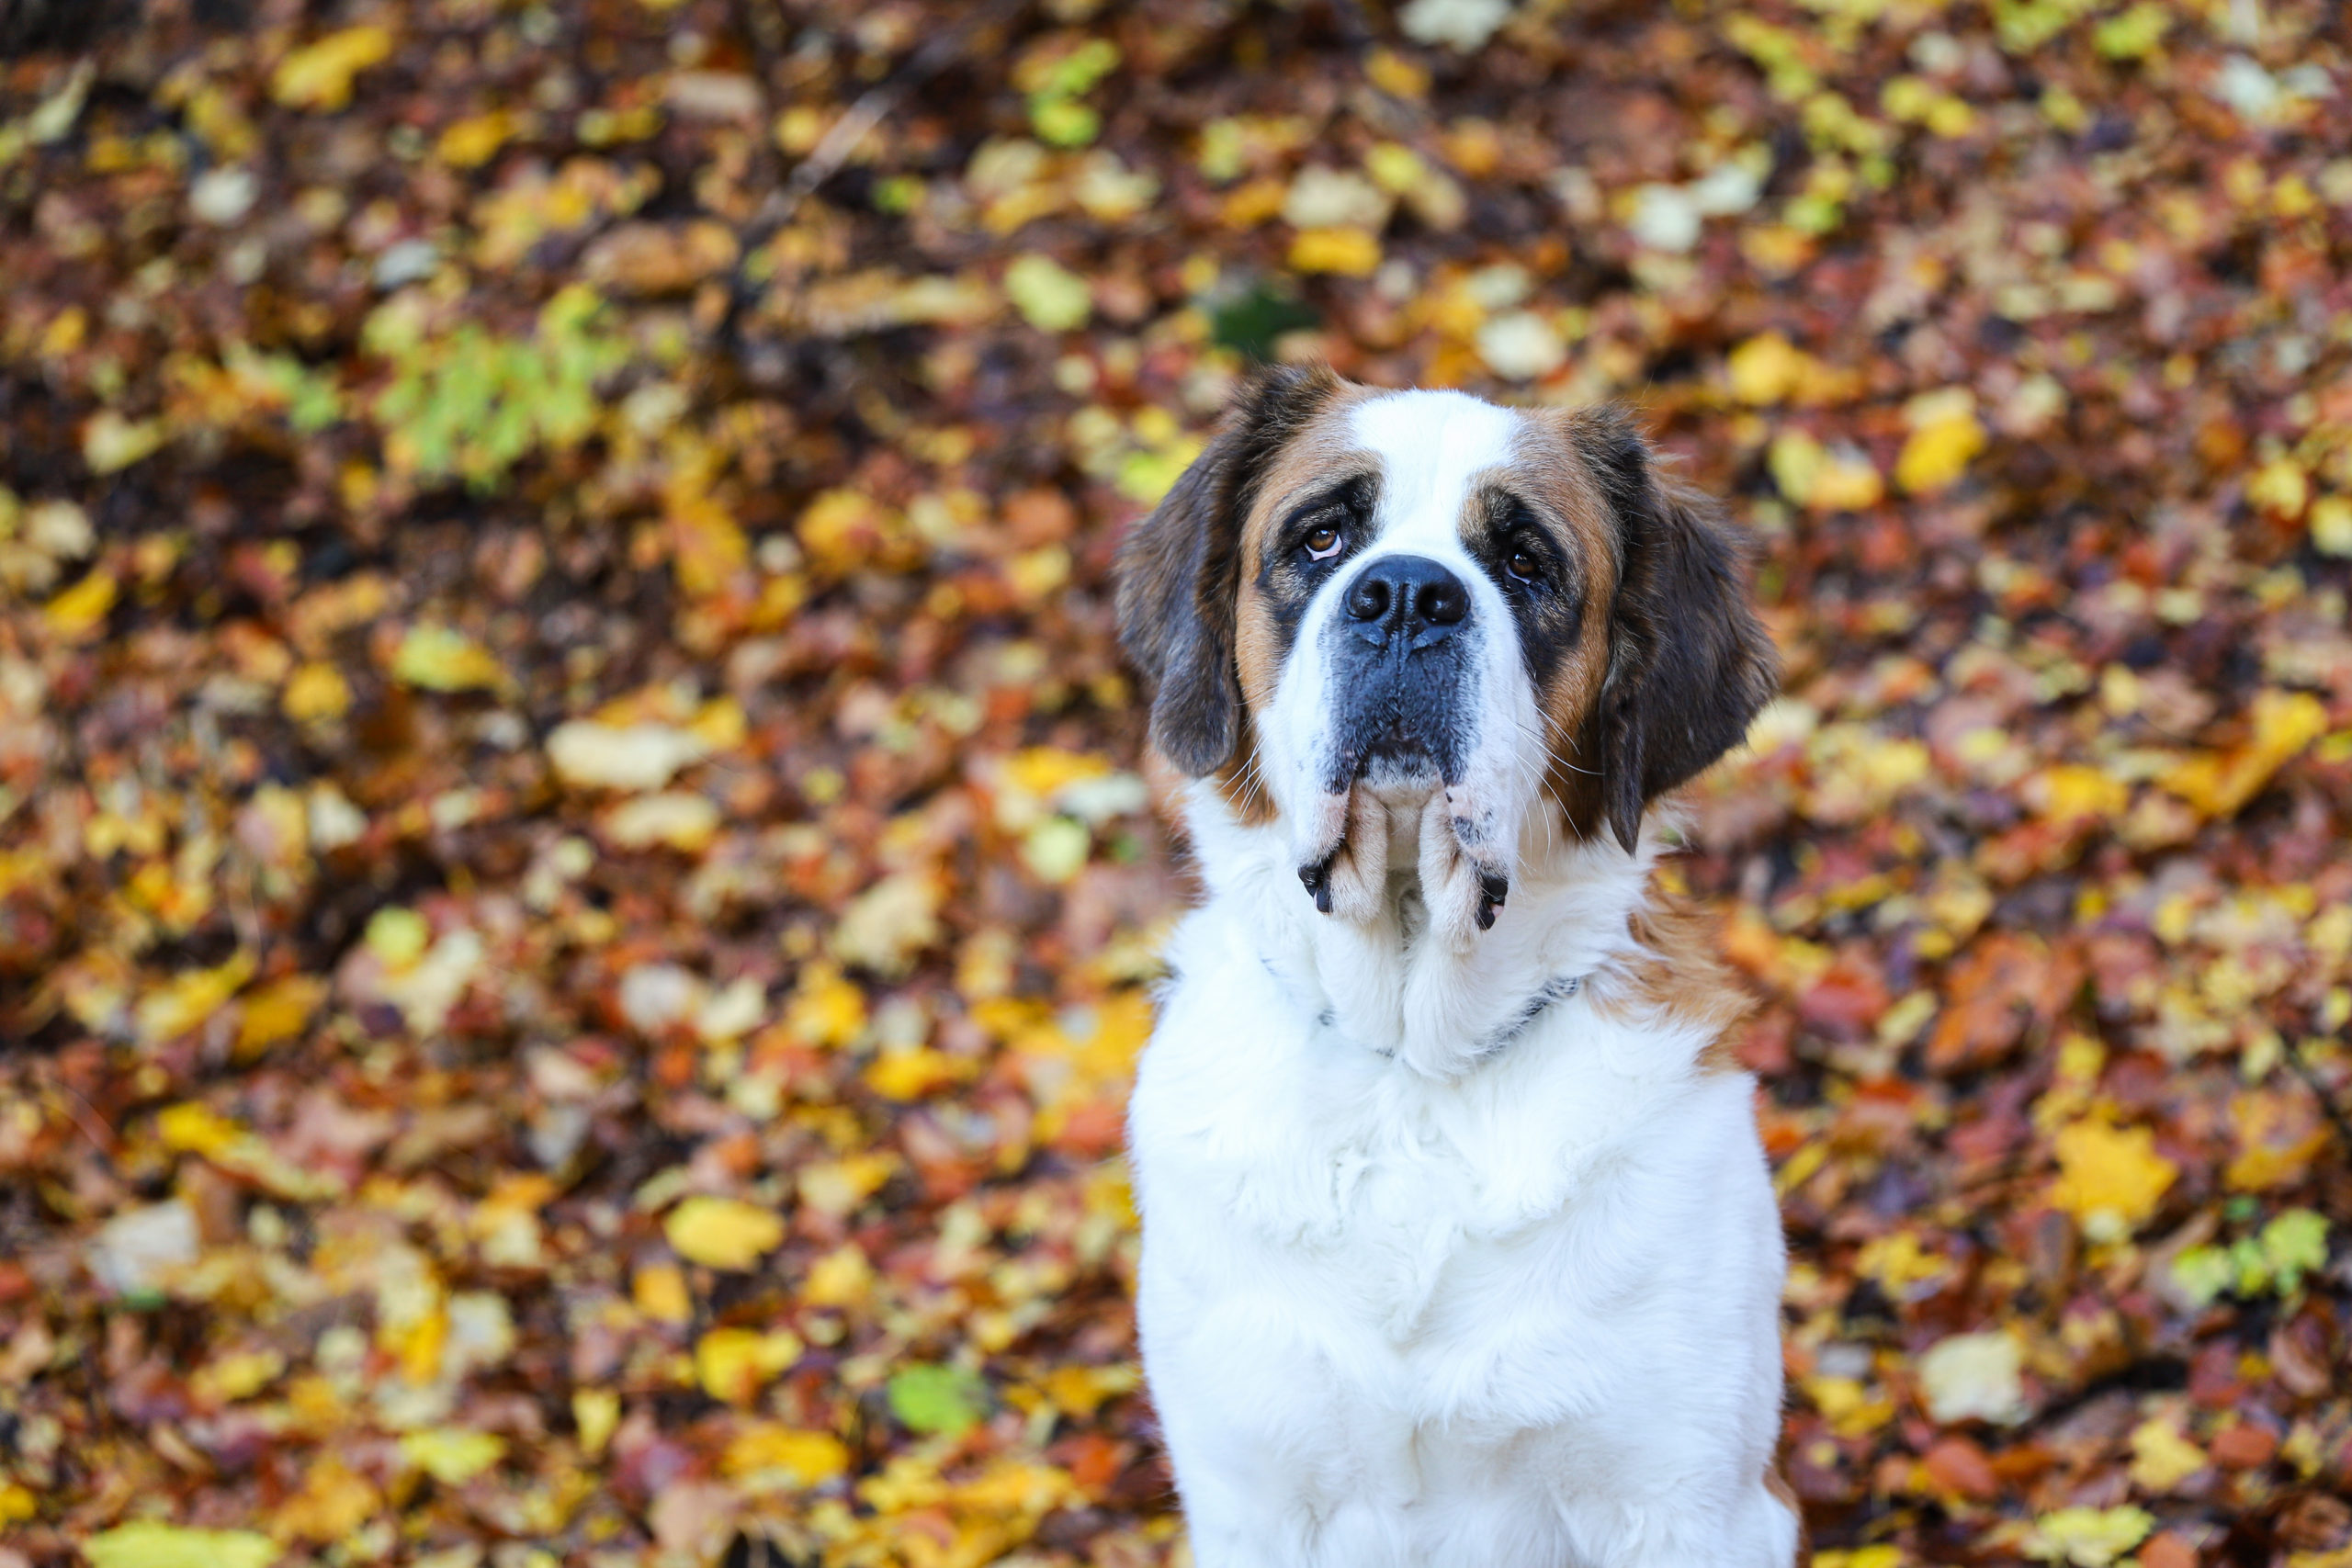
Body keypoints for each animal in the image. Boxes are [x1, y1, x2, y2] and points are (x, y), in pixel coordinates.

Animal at [1110, 368, 1787, 1568]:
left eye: (1523, 561)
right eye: (1322, 538)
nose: (1407, 596)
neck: (1410, 1073)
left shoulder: (1675, 1504)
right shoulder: (1251, 1498)